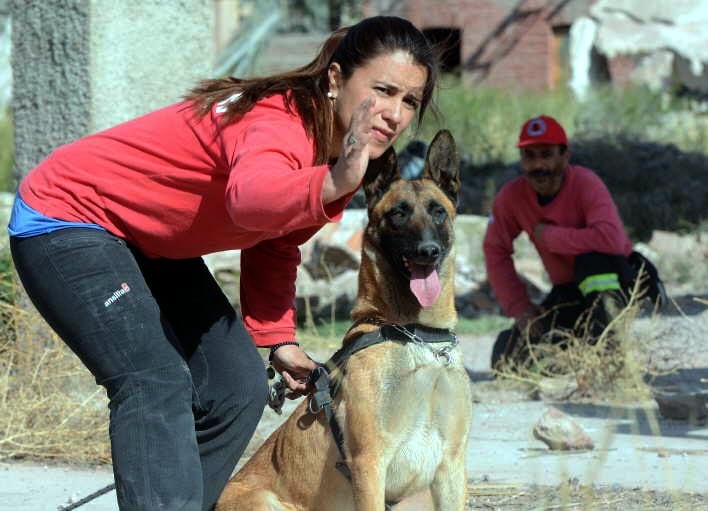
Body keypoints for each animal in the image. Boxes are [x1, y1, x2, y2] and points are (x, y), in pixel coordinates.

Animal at [214, 131, 470, 511]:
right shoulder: (369, 464)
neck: (416, 336)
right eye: (398, 213)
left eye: (438, 211)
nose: (428, 252)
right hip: (267, 502)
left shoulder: (451, 468)